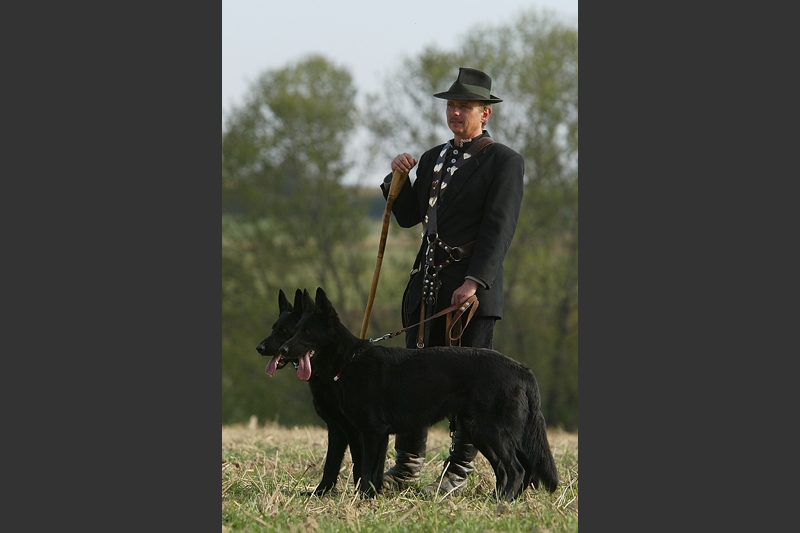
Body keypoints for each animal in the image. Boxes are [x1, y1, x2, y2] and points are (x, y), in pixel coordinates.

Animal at [256, 286, 362, 494]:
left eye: (284, 330)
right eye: (273, 328)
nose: (259, 347)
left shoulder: (350, 428)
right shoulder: (336, 428)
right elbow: (331, 463)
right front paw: (321, 492)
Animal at [278, 286, 560, 498]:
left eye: (306, 332)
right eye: (293, 331)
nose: (282, 350)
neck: (348, 361)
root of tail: (521, 368)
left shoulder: (371, 432)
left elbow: (366, 470)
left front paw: (363, 501)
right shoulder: (367, 434)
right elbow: (370, 472)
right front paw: (369, 498)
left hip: (494, 431)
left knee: (516, 469)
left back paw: (503, 501)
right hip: (479, 432)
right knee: (512, 468)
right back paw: (501, 499)